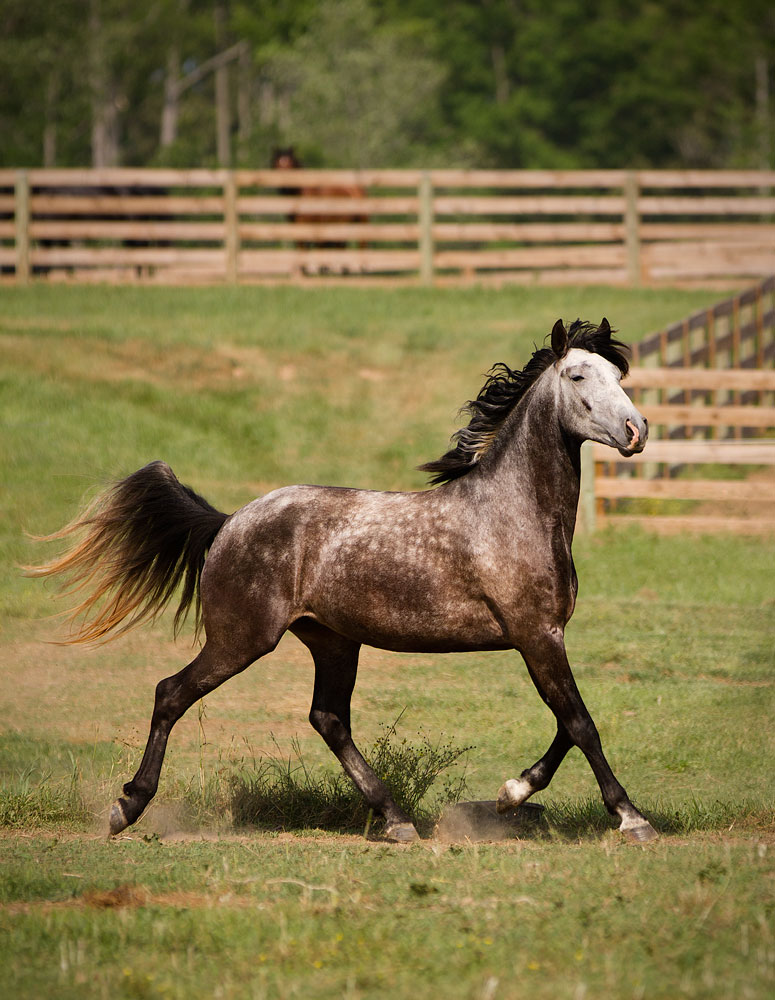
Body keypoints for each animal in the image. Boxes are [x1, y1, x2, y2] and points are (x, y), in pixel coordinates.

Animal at [31, 318, 660, 844]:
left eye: (617, 375)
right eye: (578, 375)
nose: (636, 430)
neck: (512, 512)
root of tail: (229, 521)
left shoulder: (543, 637)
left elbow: (567, 724)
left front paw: (512, 794)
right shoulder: (536, 635)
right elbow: (580, 722)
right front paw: (631, 818)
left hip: (332, 641)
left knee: (328, 719)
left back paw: (397, 820)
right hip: (241, 639)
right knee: (171, 693)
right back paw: (125, 808)